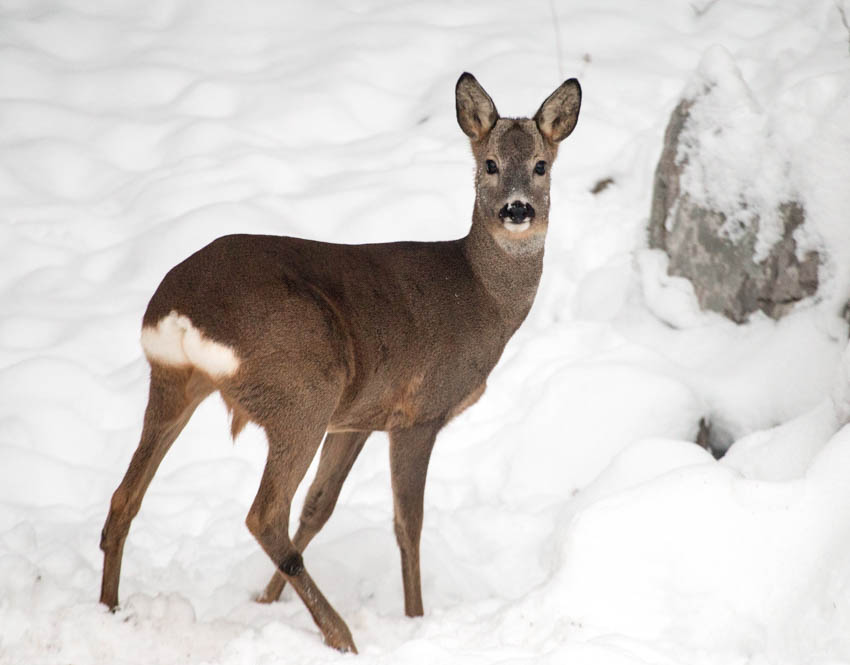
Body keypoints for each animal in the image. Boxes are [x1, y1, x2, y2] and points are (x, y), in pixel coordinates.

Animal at [97, 72, 576, 648]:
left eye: (541, 165)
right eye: (489, 164)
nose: (517, 209)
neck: (480, 295)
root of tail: (179, 311)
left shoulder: (359, 418)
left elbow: (319, 507)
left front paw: (263, 602)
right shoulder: (419, 412)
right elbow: (407, 524)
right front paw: (416, 619)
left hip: (176, 381)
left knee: (125, 497)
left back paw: (108, 610)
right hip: (302, 389)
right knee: (263, 515)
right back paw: (341, 634)